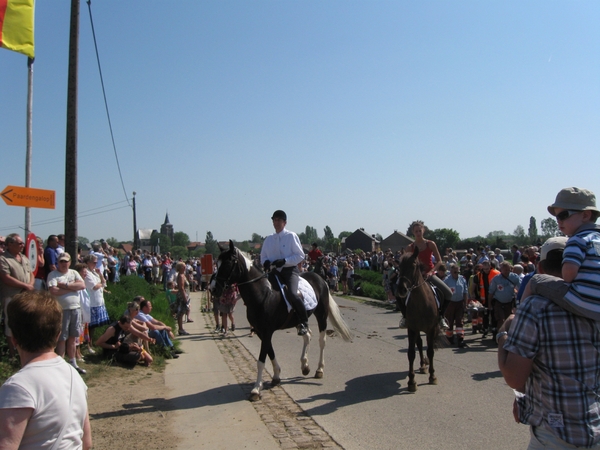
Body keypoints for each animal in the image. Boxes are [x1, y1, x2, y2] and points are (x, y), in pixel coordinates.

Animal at [212, 241, 354, 402]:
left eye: (228, 263)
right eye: (217, 263)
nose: (214, 289)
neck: (264, 293)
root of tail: (320, 279)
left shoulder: (266, 331)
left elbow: (261, 360)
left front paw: (256, 389)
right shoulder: (261, 331)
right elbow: (270, 352)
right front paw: (276, 376)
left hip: (321, 315)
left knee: (321, 341)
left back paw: (319, 369)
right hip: (300, 320)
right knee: (307, 335)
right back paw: (305, 366)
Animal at [394, 246, 446, 390]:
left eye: (413, 265)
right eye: (399, 266)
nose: (401, 289)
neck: (421, 302)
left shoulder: (431, 329)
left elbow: (431, 351)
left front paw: (432, 377)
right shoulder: (412, 329)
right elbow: (411, 353)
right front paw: (411, 381)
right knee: (420, 343)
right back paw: (423, 365)